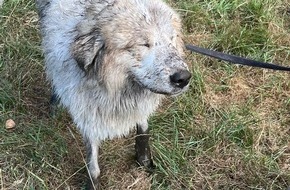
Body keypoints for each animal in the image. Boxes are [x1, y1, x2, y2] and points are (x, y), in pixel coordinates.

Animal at [36, 0, 191, 188]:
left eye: (171, 39)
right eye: (143, 44)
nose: (183, 78)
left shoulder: (137, 105)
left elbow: (143, 129)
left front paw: (144, 159)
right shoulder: (88, 113)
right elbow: (93, 165)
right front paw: (92, 184)